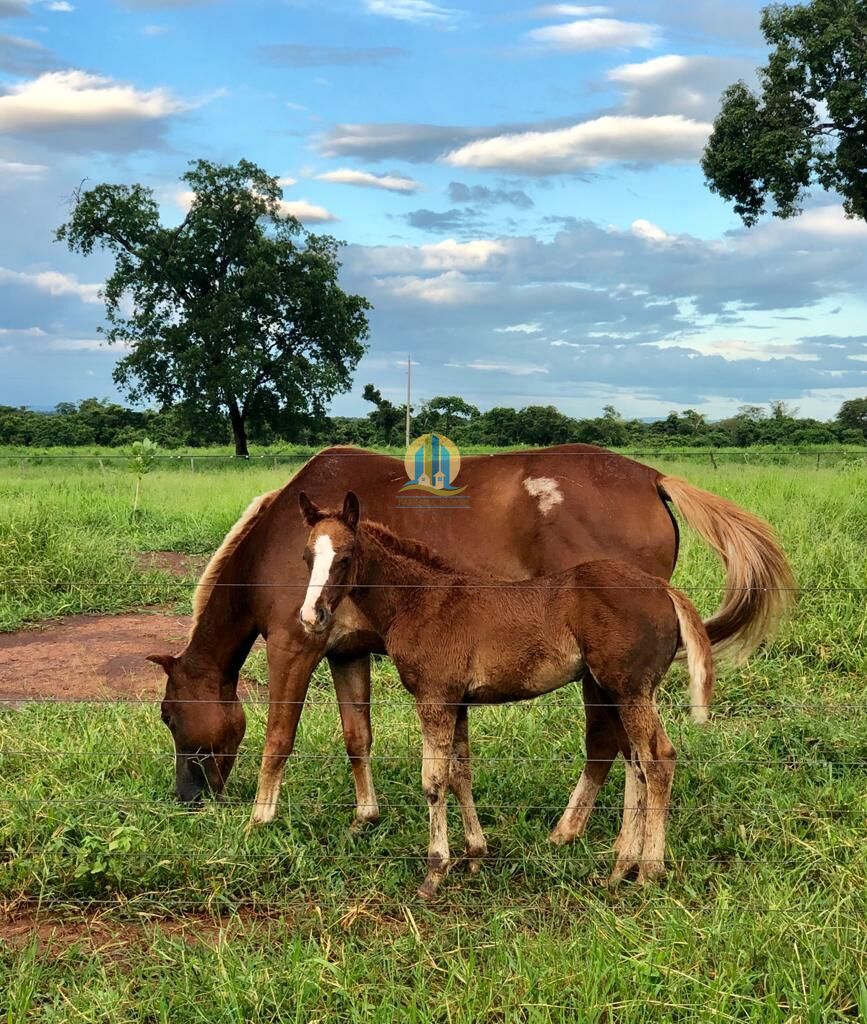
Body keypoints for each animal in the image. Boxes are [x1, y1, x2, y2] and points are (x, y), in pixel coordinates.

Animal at [147, 444, 793, 829]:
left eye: (170, 717)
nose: (186, 796)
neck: (284, 540)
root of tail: (653, 477)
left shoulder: (294, 646)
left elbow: (279, 737)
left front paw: (261, 818)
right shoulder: (347, 655)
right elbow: (358, 737)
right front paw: (365, 815)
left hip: (609, 674)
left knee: (611, 744)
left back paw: (575, 831)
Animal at [297, 490, 714, 894]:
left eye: (344, 557)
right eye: (306, 557)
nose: (311, 616)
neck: (420, 600)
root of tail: (663, 588)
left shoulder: (434, 697)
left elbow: (433, 782)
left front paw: (434, 872)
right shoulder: (458, 701)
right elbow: (460, 775)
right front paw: (475, 856)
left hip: (630, 690)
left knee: (657, 760)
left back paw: (648, 871)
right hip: (611, 690)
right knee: (635, 763)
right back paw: (619, 869)